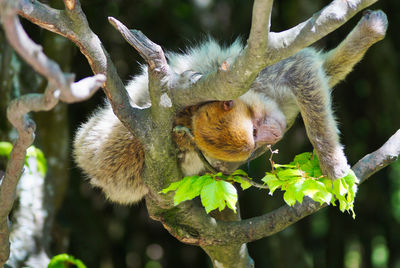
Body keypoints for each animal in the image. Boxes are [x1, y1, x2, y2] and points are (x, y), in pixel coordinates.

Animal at [72, 9, 388, 204]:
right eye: (255, 136)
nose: (272, 136)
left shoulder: (249, 79)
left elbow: (307, 69)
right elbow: (308, 68)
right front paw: (334, 168)